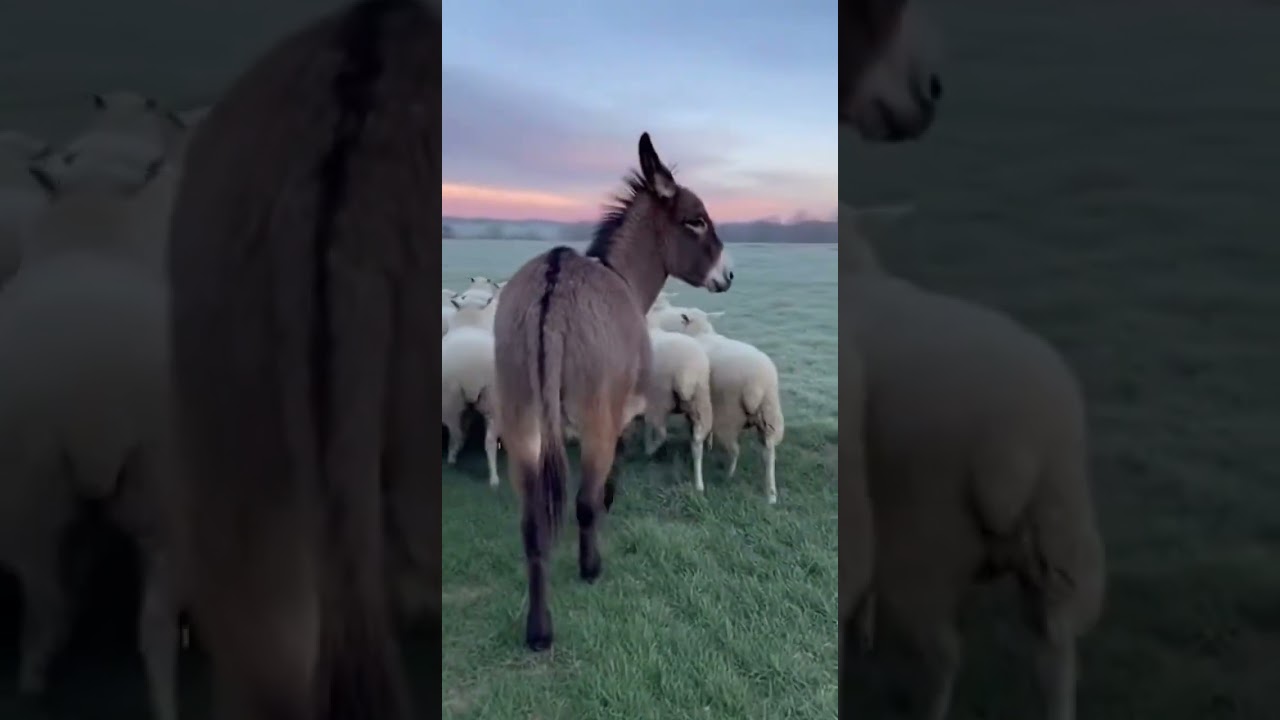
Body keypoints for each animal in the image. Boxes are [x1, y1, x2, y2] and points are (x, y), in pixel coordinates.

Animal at [442, 293, 501, 487]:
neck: (471, 322)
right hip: (492, 397)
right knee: (489, 440)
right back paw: (494, 478)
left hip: (450, 398)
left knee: (456, 432)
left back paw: (453, 456)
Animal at [636, 327, 714, 492]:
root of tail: (687, 372)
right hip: (701, 402)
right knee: (697, 442)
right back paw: (699, 484)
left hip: (661, 398)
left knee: (661, 432)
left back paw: (650, 450)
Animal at [671, 308, 784, 504]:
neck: (701, 333)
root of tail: (757, 384)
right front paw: (709, 442)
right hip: (769, 414)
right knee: (769, 453)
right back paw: (771, 495)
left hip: (729, 415)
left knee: (734, 449)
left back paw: (728, 475)